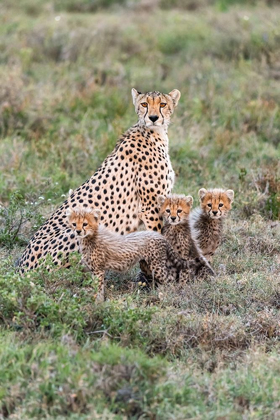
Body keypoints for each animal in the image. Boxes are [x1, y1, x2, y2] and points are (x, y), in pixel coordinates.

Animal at [18, 89, 179, 272]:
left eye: (163, 104)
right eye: (144, 104)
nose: (153, 117)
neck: (154, 133)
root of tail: (20, 268)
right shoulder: (150, 207)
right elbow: (157, 237)